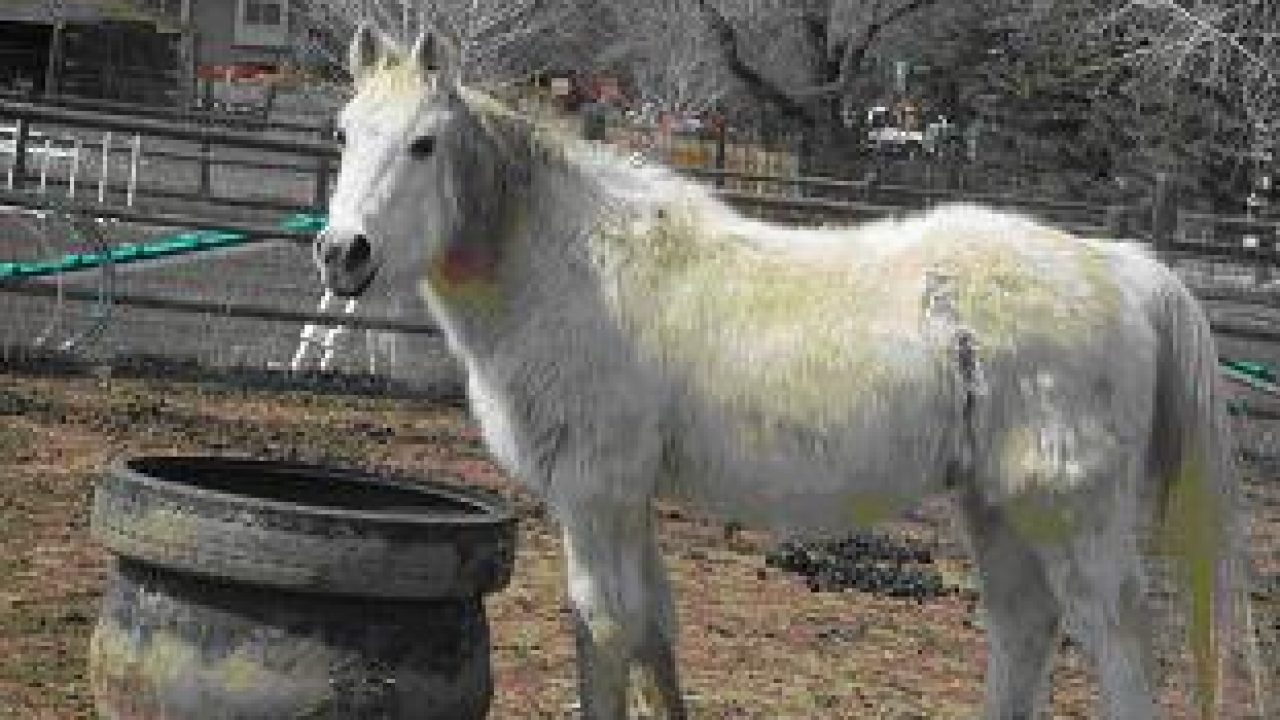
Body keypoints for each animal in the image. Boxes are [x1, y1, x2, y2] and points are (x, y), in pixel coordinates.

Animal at [311, 27, 1246, 720]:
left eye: (424, 143)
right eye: (344, 132)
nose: (342, 253)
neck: (577, 266)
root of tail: (1123, 267)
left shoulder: (596, 495)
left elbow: (604, 637)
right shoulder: (630, 504)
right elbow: (654, 638)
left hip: (1069, 521)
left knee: (1114, 647)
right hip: (996, 513)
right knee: (1024, 634)